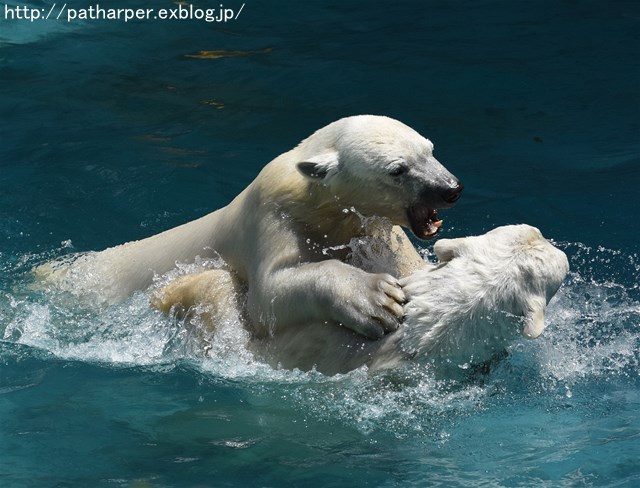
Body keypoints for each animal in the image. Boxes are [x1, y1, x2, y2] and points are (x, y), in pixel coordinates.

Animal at [37, 116, 462, 342]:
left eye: (430, 148)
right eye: (398, 170)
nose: (450, 188)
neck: (317, 203)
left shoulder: (373, 229)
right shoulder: (271, 218)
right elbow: (269, 297)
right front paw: (377, 299)